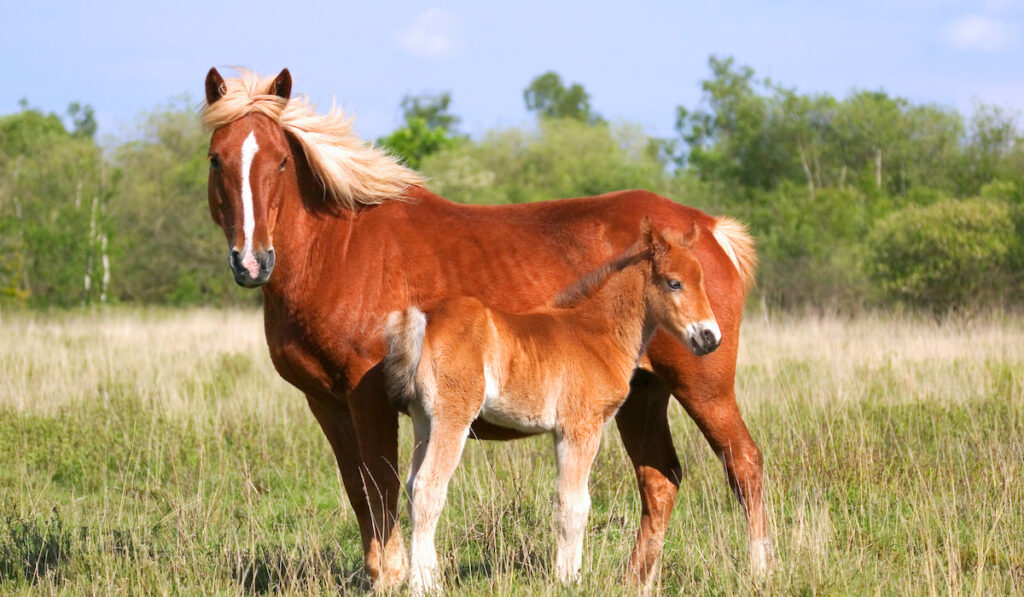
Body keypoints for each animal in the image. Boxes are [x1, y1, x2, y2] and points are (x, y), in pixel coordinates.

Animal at [385, 221, 720, 593]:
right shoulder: (581, 427)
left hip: (423, 420)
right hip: (452, 418)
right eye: (674, 282)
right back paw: (425, 586)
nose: (709, 337)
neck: (595, 333)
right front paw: (569, 579)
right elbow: (575, 504)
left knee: (412, 485)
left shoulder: (561, 432)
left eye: (702, 280)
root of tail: (423, 318)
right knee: (428, 487)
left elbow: (564, 501)